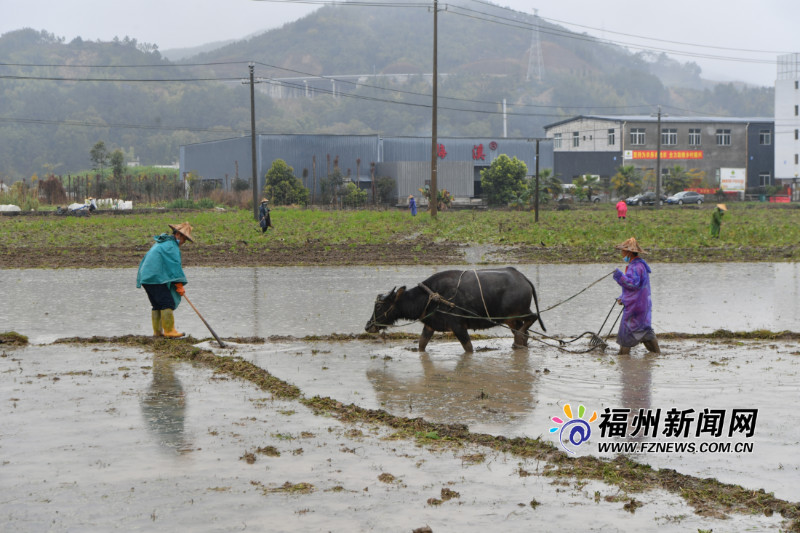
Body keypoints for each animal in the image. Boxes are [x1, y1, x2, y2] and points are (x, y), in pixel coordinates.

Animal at [366, 266, 548, 354]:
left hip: (520, 311)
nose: (368, 326)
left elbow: (469, 348)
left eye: (379, 305)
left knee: (532, 318)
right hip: (510, 319)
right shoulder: (430, 326)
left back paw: (518, 339)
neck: (430, 297)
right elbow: (421, 345)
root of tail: (523, 279)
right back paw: (518, 344)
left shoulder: (458, 327)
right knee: (524, 332)